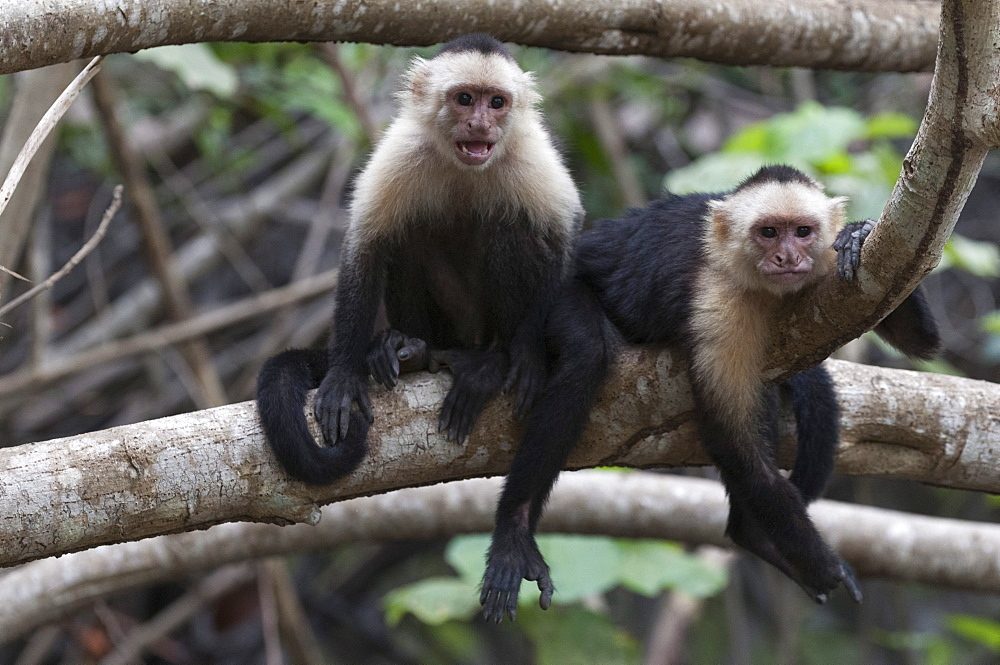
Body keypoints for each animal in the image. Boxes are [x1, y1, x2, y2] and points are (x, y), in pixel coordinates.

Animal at [256, 35, 584, 482]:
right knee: (407, 237)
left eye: (497, 102)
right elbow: (367, 245)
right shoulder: (404, 150)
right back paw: (410, 348)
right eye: (465, 99)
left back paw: (493, 360)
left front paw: (529, 352)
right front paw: (343, 374)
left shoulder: (531, 155)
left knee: (511, 228)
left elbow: (564, 235)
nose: (480, 124)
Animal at [476, 163, 936, 620]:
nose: (787, 257)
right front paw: (825, 565)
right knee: (586, 357)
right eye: (769, 232)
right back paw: (514, 532)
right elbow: (733, 441)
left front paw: (859, 233)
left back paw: (750, 533)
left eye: (803, 231)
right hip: (556, 293)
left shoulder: (826, 265)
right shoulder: (719, 306)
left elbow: (916, 338)